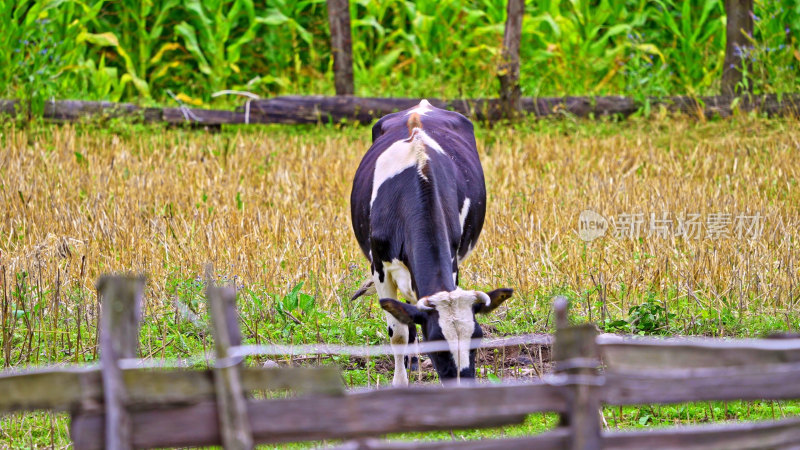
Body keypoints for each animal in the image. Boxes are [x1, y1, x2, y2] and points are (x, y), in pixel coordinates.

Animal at [348, 99, 512, 386]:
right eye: (437, 343)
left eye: (477, 338)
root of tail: (420, 106)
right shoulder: (380, 270)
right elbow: (399, 333)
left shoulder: (453, 261)